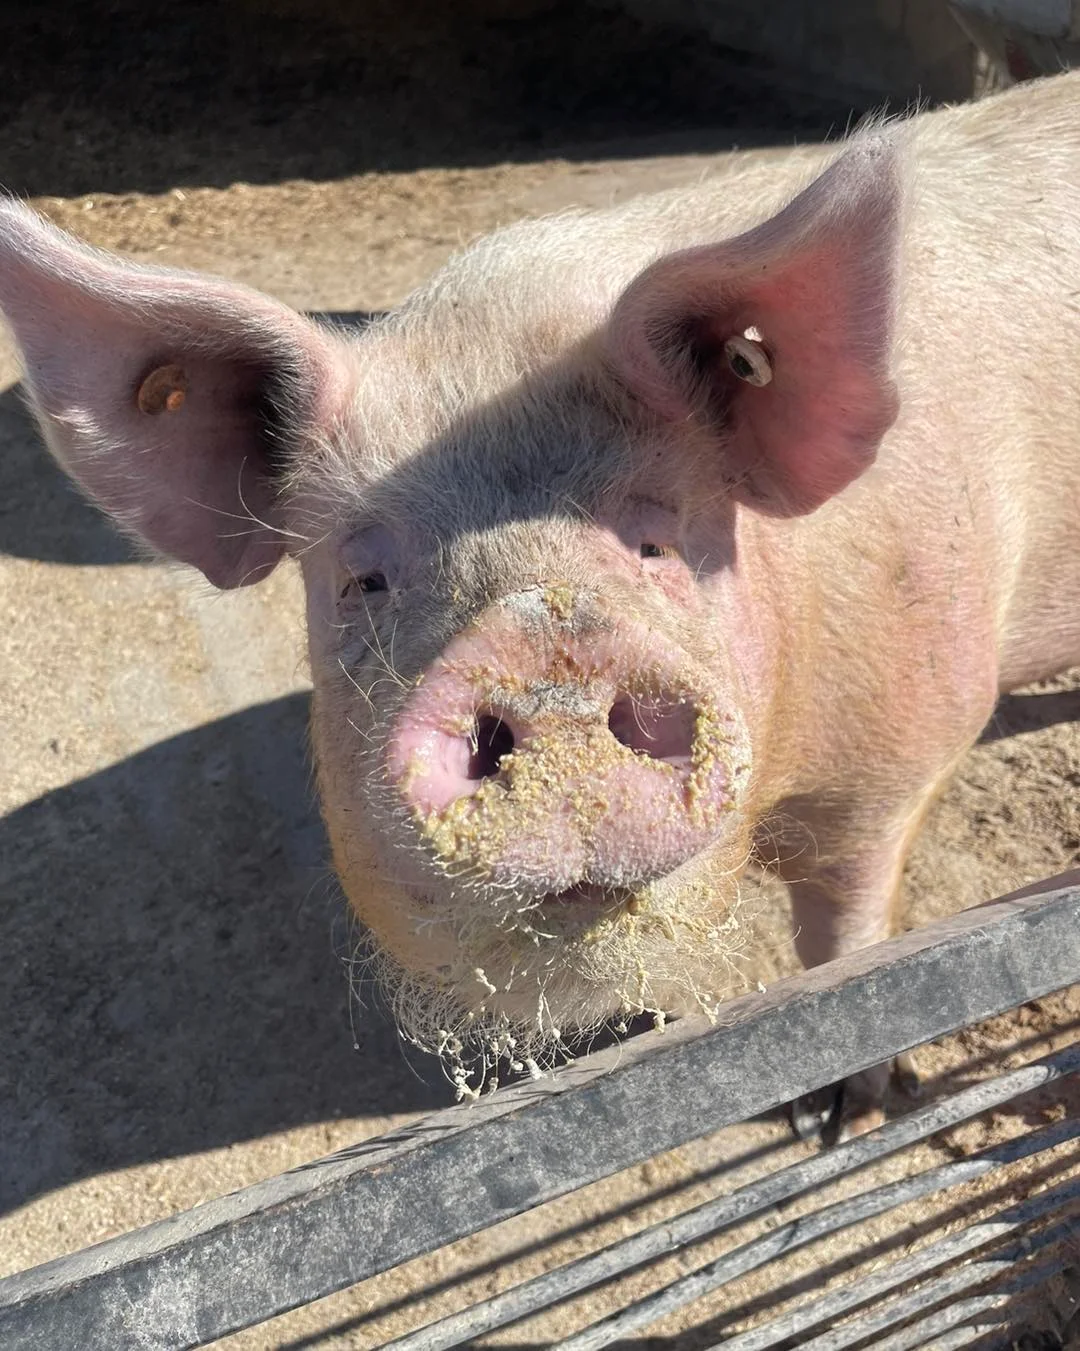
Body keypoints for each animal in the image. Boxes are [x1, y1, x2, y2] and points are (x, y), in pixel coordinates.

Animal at [3, 70, 1079, 1135]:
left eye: (656, 541)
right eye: (363, 579)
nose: (542, 653)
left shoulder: (902, 755)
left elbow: (848, 939)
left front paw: (846, 1111)